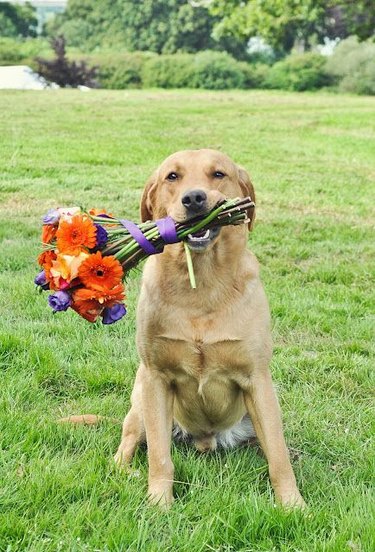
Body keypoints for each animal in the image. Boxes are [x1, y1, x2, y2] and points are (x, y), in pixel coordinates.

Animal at [115, 148, 306, 508]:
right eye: (172, 177)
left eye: (218, 174)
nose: (194, 198)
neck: (202, 286)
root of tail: (207, 440)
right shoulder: (156, 378)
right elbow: (160, 456)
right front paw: (159, 503)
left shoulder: (257, 379)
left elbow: (278, 455)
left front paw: (293, 505)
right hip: (140, 399)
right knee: (125, 446)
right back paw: (126, 471)